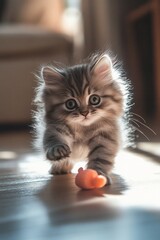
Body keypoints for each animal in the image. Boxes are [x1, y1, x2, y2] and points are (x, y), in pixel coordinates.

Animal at [34, 52, 131, 184]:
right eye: (70, 104)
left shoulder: (105, 138)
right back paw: (60, 167)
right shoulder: (55, 128)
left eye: (94, 99)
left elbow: (100, 158)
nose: (84, 113)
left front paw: (98, 174)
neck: (83, 129)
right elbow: (53, 140)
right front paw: (57, 150)